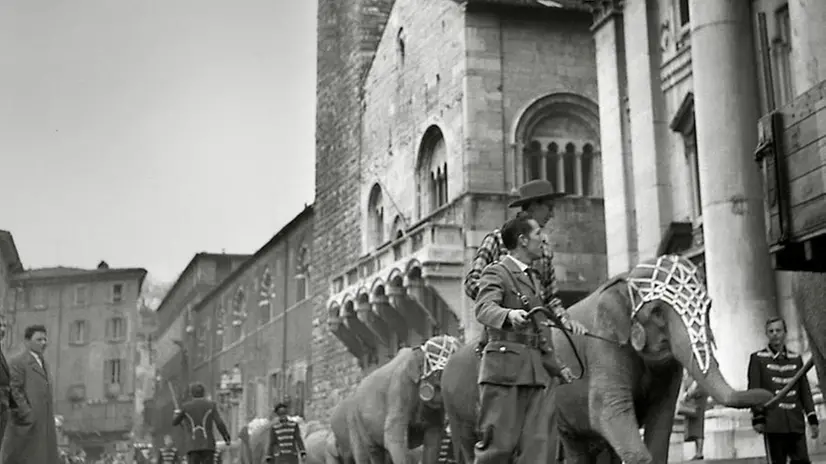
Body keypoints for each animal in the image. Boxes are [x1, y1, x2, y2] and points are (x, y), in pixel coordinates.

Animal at [328, 336, 460, 462]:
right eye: (441, 372)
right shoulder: (400, 386)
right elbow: (393, 435)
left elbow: (433, 436)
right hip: (355, 420)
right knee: (370, 452)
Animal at [440, 254, 776, 464]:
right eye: (657, 312)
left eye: (708, 306)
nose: (770, 396)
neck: (625, 280)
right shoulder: (604, 344)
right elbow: (608, 411)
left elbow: (661, 418)